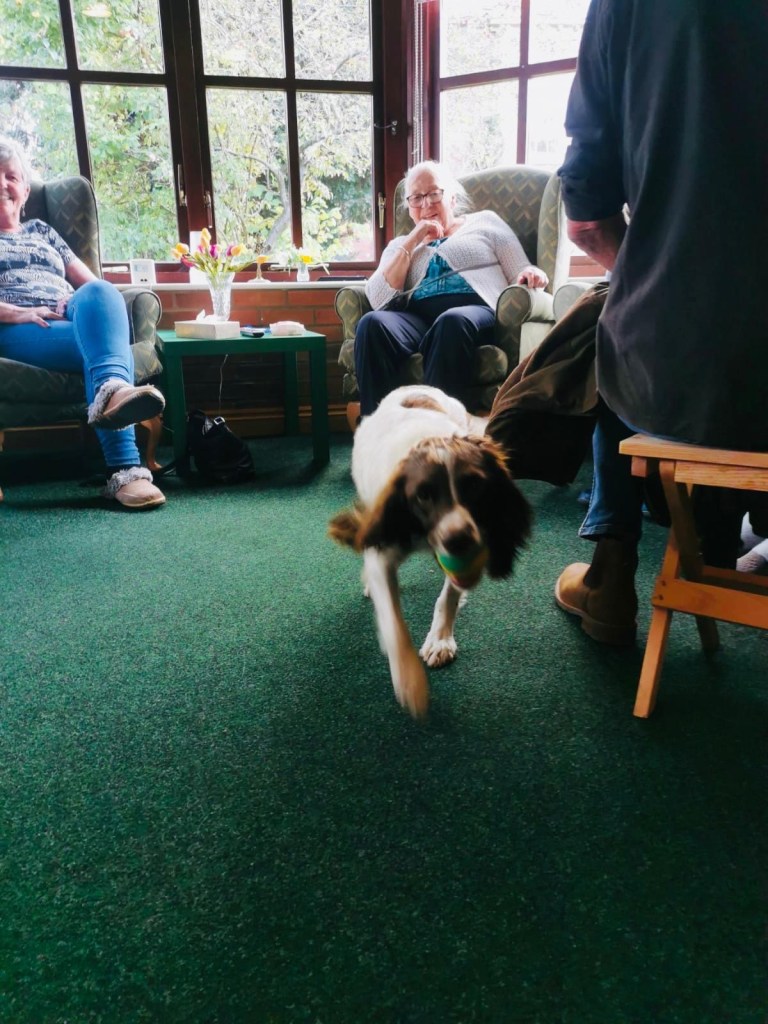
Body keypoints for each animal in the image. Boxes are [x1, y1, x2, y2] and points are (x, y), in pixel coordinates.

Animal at [329, 385, 531, 717]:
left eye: (475, 486)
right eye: (423, 495)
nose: (458, 541)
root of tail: (413, 387)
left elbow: (448, 596)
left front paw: (440, 640)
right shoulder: (384, 549)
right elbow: (393, 621)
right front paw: (409, 679)